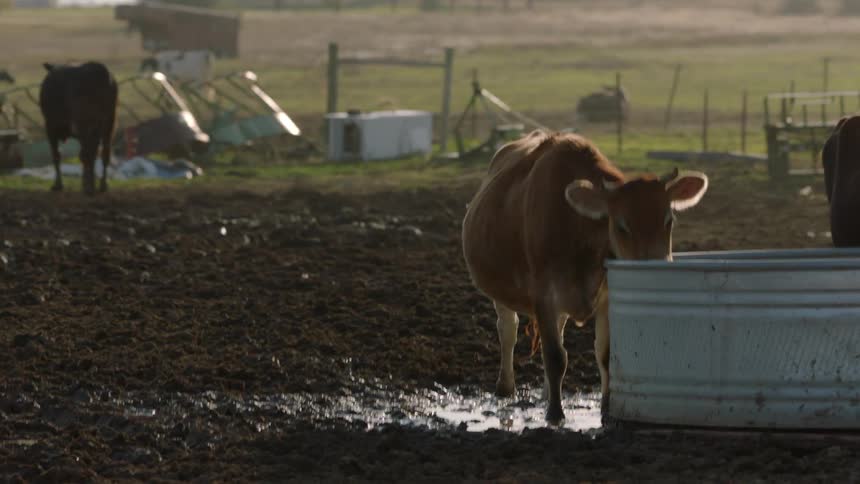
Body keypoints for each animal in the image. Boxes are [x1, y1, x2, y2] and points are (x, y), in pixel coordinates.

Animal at [39, 62, 118, 195]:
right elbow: (82, 155)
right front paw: (84, 182)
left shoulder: (50, 127)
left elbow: (56, 155)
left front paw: (58, 185)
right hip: (109, 124)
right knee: (103, 153)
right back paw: (102, 185)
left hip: (85, 124)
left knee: (89, 153)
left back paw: (90, 188)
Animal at [462, 130, 709, 424]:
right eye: (621, 225)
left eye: (668, 220)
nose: (657, 266)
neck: (579, 234)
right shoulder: (543, 294)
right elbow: (555, 356)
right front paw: (555, 414)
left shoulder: (607, 295)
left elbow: (605, 354)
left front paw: (606, 408)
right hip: (500, 288)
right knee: (508, 330)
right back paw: (506, 388)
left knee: (556, 331)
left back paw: (546, 392)